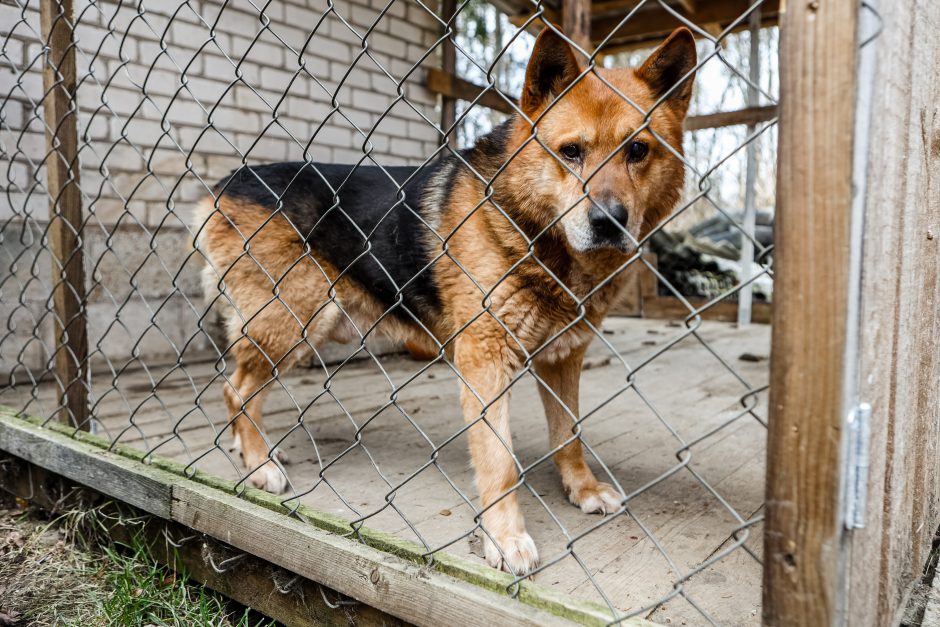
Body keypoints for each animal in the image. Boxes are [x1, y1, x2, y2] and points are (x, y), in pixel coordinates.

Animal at [193, 27, 696, 576]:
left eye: (638, 150)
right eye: (570, 152)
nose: (609, 221)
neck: (537, 237)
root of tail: (224, 185)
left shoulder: (563, 358)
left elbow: (569, 434)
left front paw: (580, 489)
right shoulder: (485, 360)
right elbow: (499, 460)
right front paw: (505, 538)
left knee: (235, 388)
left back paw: (249, 453)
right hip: (294, 321)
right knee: (238, 391)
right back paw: (260, 465)